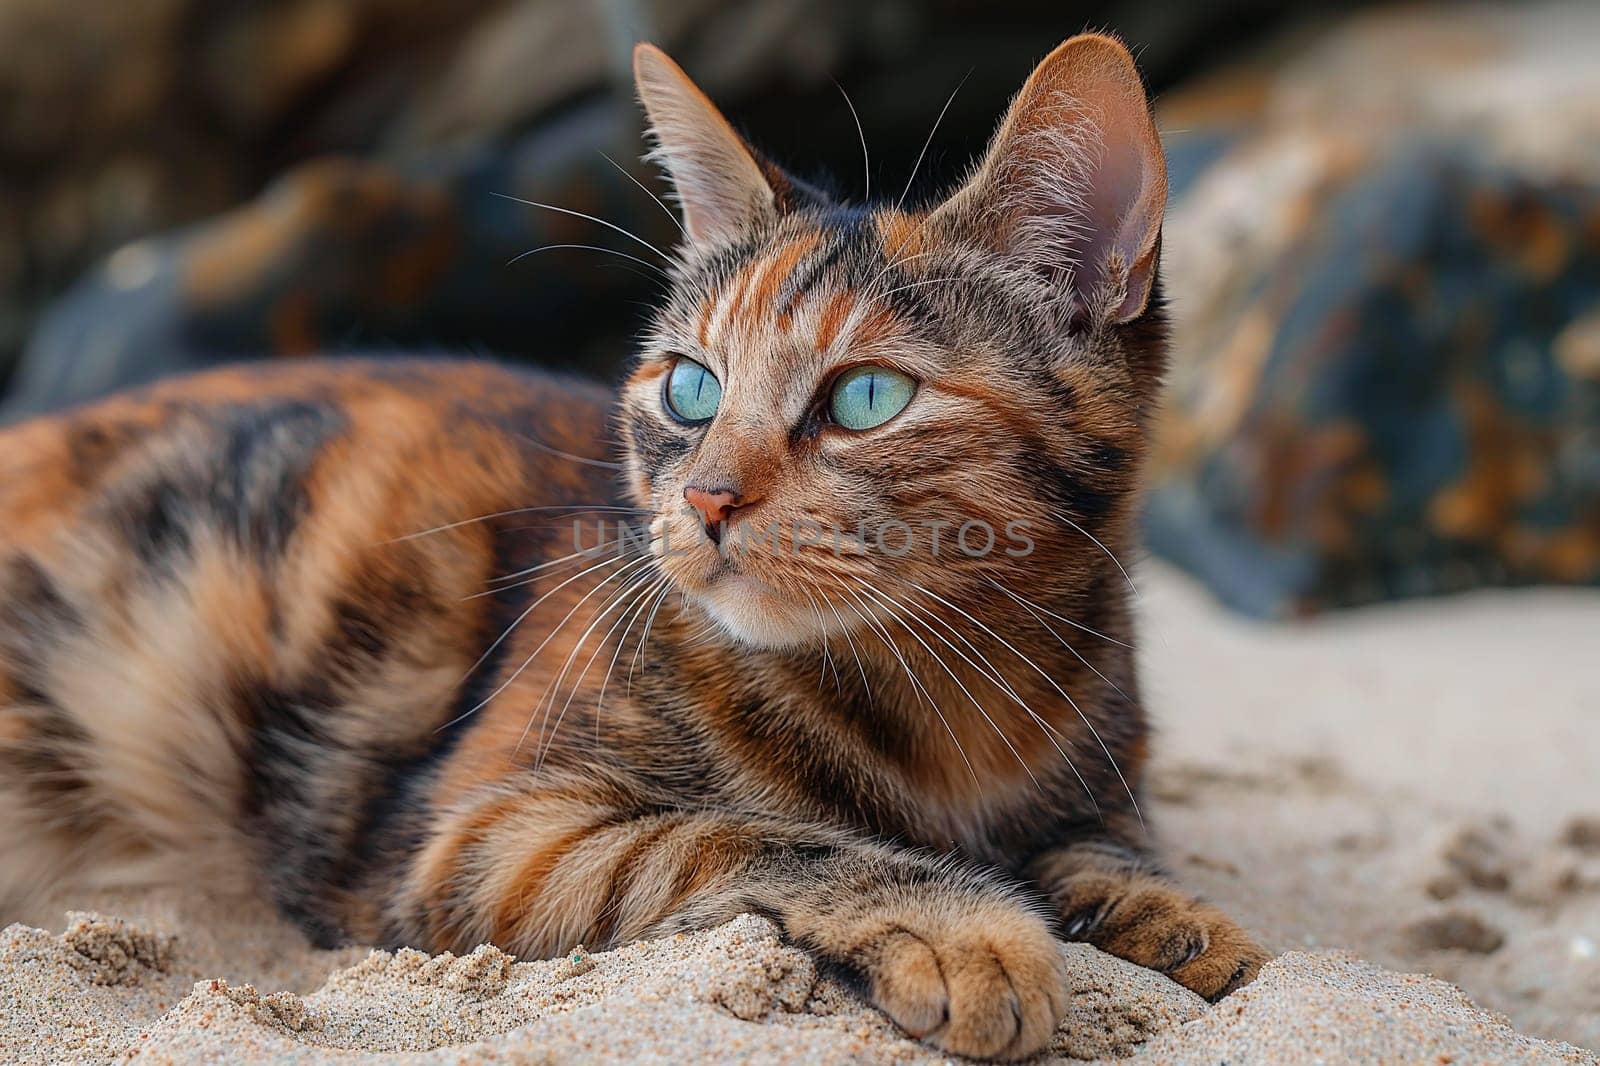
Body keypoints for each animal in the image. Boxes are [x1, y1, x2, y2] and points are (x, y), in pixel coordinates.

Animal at [3, 35, 1273, 1062]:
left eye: (865, 397)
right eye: (689, 386)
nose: (706, 499)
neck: (955, 700)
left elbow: (1107, 840)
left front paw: (1170, 914)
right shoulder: (485, 836)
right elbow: (762, 836)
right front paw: (966, 926)